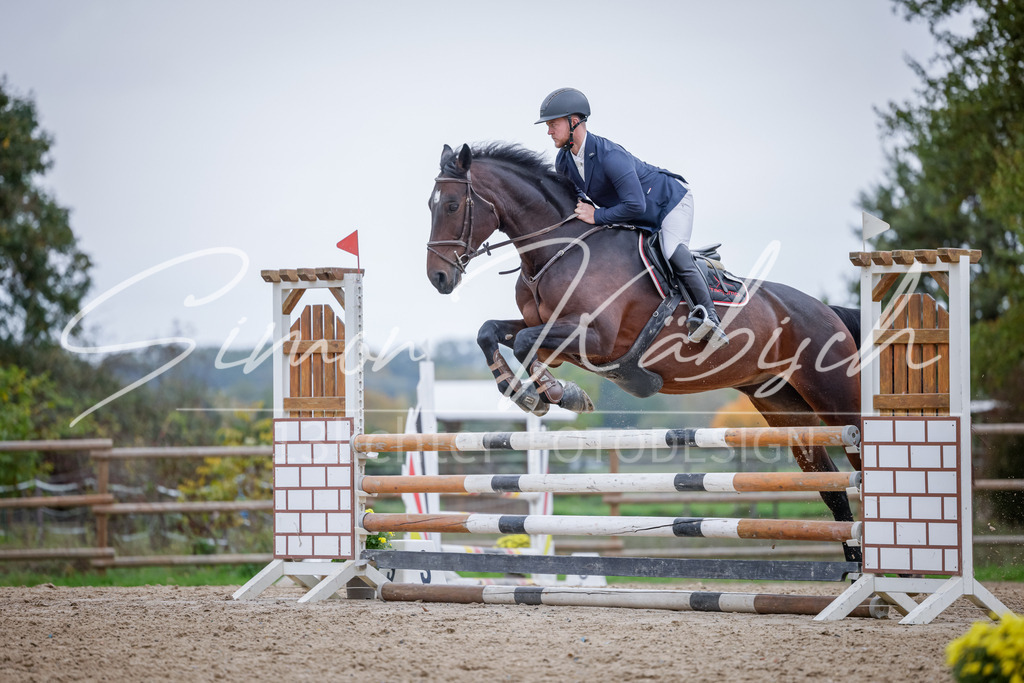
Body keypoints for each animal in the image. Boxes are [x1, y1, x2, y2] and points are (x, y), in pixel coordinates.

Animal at [426, 142, 863, 562]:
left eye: (452, 205)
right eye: (431, 205)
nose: (438, 277)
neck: (560, 250)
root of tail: (828, 311)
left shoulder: (595, 338)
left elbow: (522, 343)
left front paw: (552, 393)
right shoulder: (558, 335)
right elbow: (491, 333)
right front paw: (533, 392)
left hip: (835, 396)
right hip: (780, 403)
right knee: (831, 486)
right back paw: (853, 565)